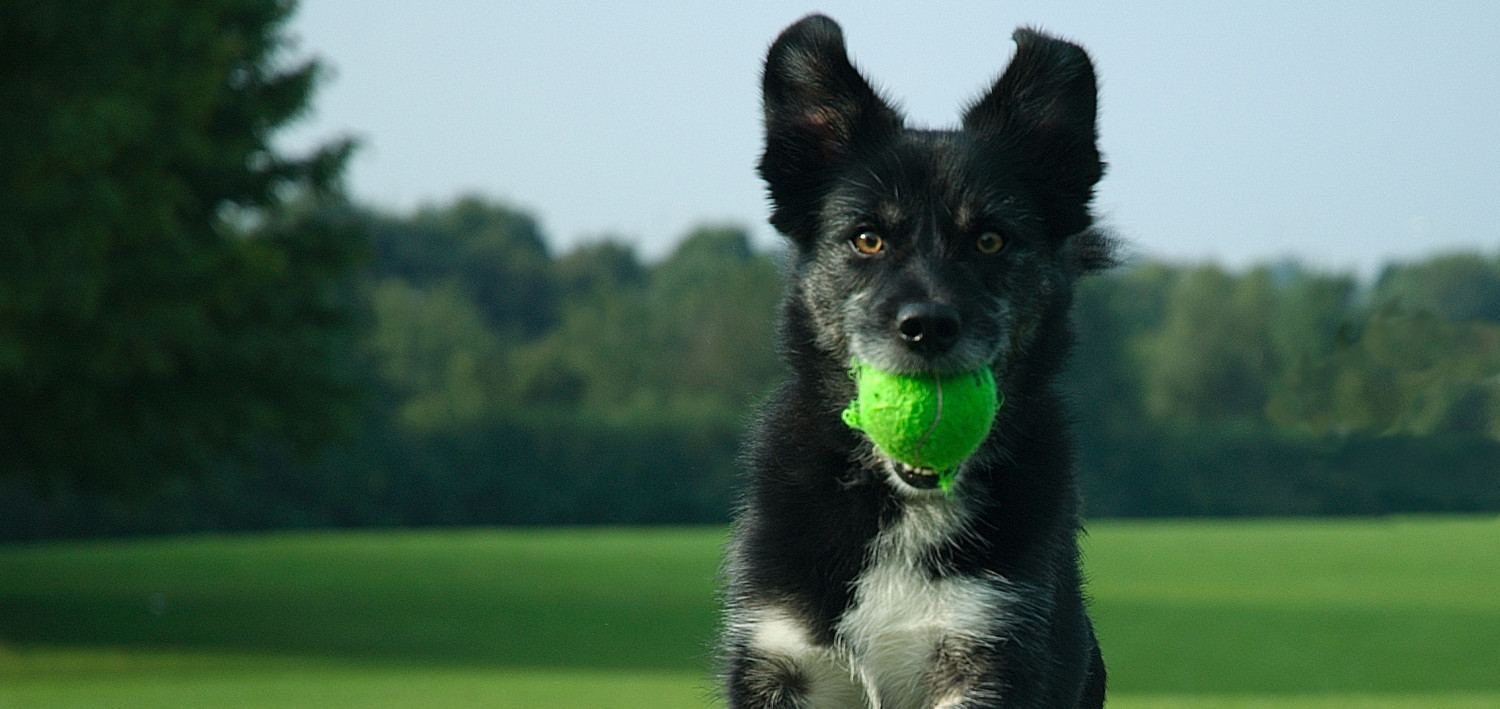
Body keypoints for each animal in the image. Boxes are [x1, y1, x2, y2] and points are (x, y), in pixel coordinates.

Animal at [726, 13, 1116, 704]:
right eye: (867, 239)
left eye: (990, 240)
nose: (927, 328)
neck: (905, 506)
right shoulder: (780, 653)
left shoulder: (989, 647)